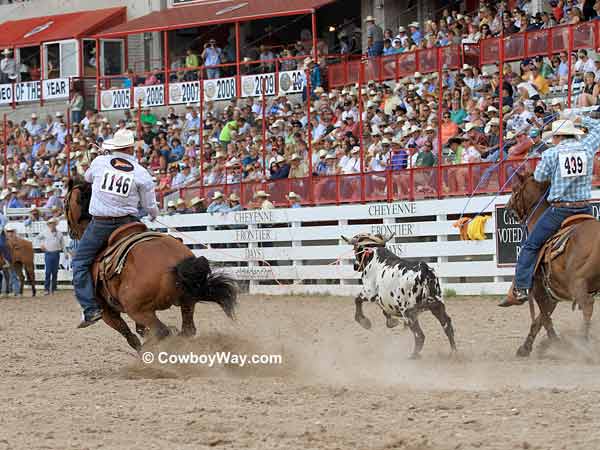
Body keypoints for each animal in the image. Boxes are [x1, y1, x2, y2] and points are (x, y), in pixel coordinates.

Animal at [63, 179, 237, 352]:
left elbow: (129, 335)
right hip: (187, 300)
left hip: (138, 310)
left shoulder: (107, 311)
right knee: (187, 330)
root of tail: (173, 261)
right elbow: (140, 330)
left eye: (65, 203)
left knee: (162, 331)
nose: (71, 232)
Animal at [506, 171, 600, 356]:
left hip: (578, 282)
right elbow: (540, 319)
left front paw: (555, 342)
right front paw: (526, 347)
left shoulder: (538, 288)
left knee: (587, 305)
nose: (508, 208)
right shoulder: (552, 292)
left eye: (514, 189)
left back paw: (584, 343)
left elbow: (544, 317)